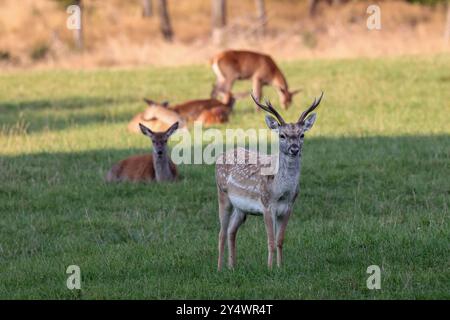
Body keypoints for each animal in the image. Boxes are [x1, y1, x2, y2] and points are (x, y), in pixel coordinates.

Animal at [215, 92, 324, 270]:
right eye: (282, 135)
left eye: (302, 134)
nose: (294, 149)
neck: (282, 192)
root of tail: (221, 155)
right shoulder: (266, 206)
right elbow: (271, 241)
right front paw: (270, 268)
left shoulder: (288, 208)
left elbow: (280, 240)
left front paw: (280, 267)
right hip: (222, 194)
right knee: (222, 232)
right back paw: (219, 268)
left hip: (241, 208)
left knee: (231, 230)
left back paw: (232, 266)